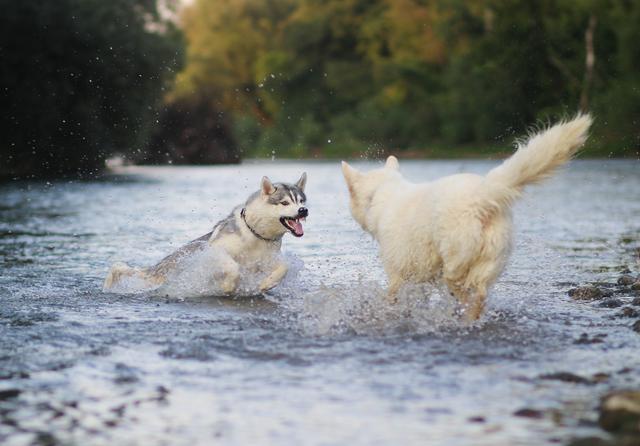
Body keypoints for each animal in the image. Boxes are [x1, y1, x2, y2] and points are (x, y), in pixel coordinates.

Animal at [104, 172, 308, 294]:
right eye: (285, 203)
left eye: (301, 201)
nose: (303, 211)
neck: (255, 235)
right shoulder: (215, 251)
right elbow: (232, 267)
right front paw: (228, 285)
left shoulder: (266, 261)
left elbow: (284, 267)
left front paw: (267, 283)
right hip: (157, 277)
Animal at [342, 115, 592, 320]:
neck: (382, 194)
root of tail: (483, 194)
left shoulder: (398, 273)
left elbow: (392, 296)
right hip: (490, 260)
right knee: (480, 296)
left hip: (455, 263)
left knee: (464, 292)